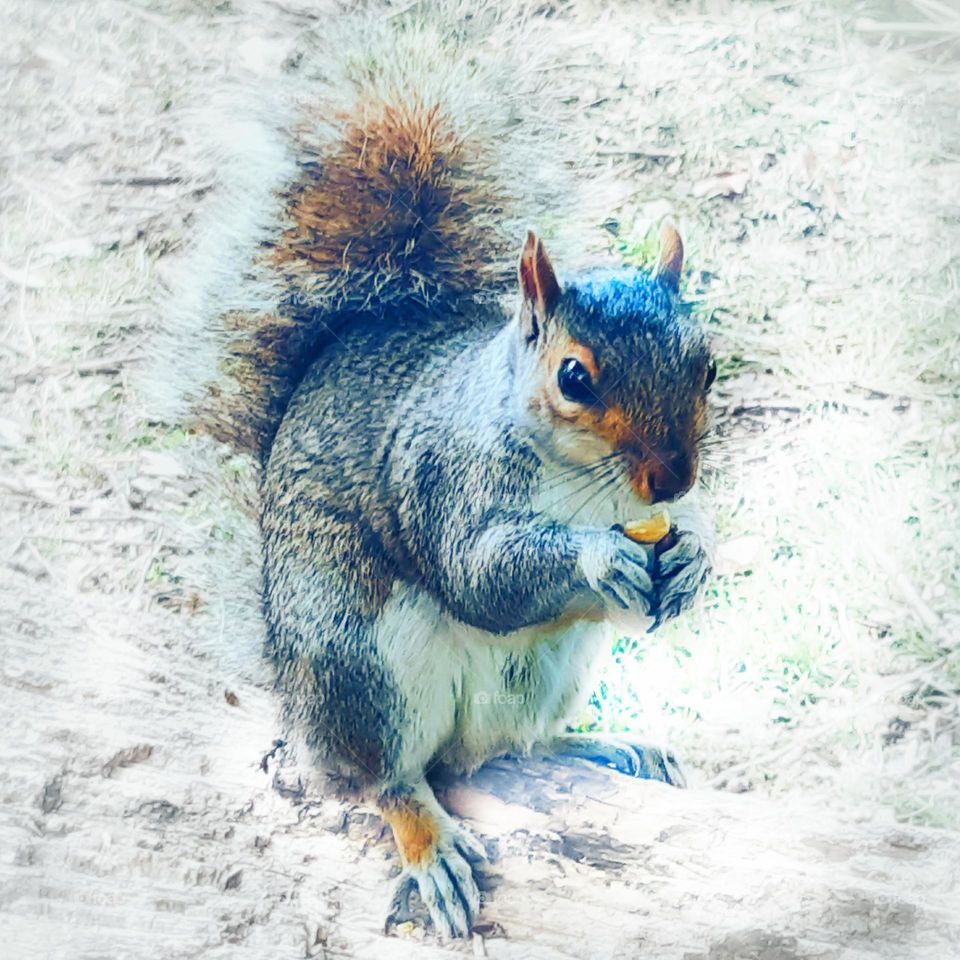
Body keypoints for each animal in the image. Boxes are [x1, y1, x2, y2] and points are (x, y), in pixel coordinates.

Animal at [156, 3, 712, 940]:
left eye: (708, 363)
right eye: (574, 377)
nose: (671, 482)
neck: (579, 485)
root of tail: (293, 693)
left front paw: (697, 555)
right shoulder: (441, 473)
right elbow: (478, 576)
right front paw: (598, 555)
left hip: (552, 671)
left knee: (505, 749)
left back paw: (603, 745)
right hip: (356, 660)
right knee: (389, 776)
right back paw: (429, 842)